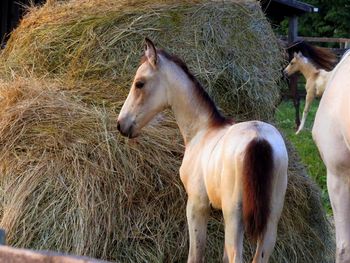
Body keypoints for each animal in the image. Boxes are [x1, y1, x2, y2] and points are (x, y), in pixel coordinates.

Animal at [117, 38, 288, 262]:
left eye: (139, 83)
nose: (121, 124)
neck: (202, 130)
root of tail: (258, 138)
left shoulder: (197, 206)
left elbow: (195, 254)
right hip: (270, 223)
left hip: (235, 217)